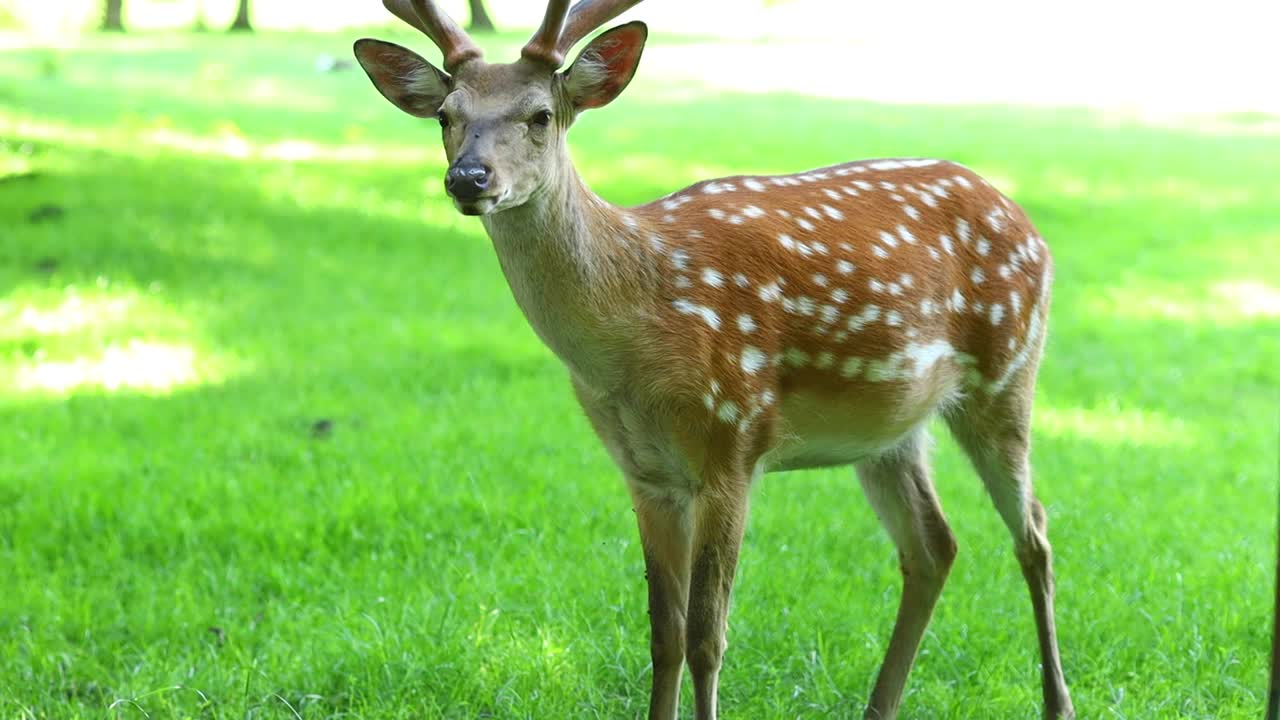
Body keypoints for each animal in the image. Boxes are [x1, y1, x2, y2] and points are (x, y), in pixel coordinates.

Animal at [355, 1, 1075, 717]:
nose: (467, 178)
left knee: (1034, 534)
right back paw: (882, 705)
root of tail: (1029, 224)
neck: (630, 342)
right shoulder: (645, 472)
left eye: (540, 115)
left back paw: (1057, 701)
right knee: (933, 547)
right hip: (889, 431)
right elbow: (663, 634)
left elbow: (707, 636)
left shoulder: (734, 442)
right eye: (446, 115)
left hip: (1008, 372)